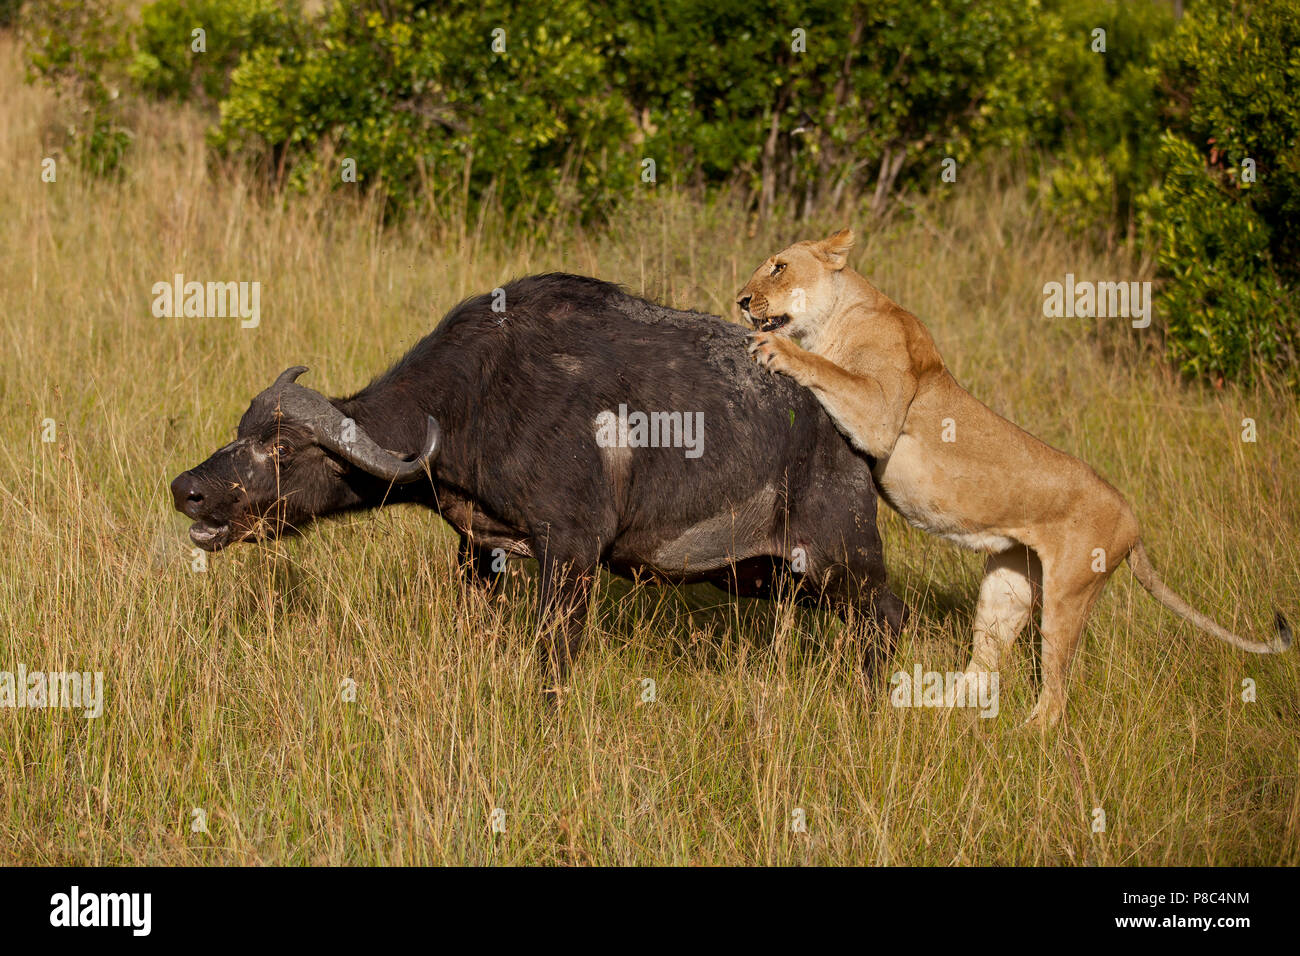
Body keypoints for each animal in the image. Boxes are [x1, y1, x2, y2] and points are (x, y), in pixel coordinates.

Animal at [170, 273, 904, 691]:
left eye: (282, 447)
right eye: (240, 429)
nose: (187, 490)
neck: (475, 400)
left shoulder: (570, 550)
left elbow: (555, 656)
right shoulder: (479, 550)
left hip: (843, 558)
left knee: (886, 619)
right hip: (771, 576)